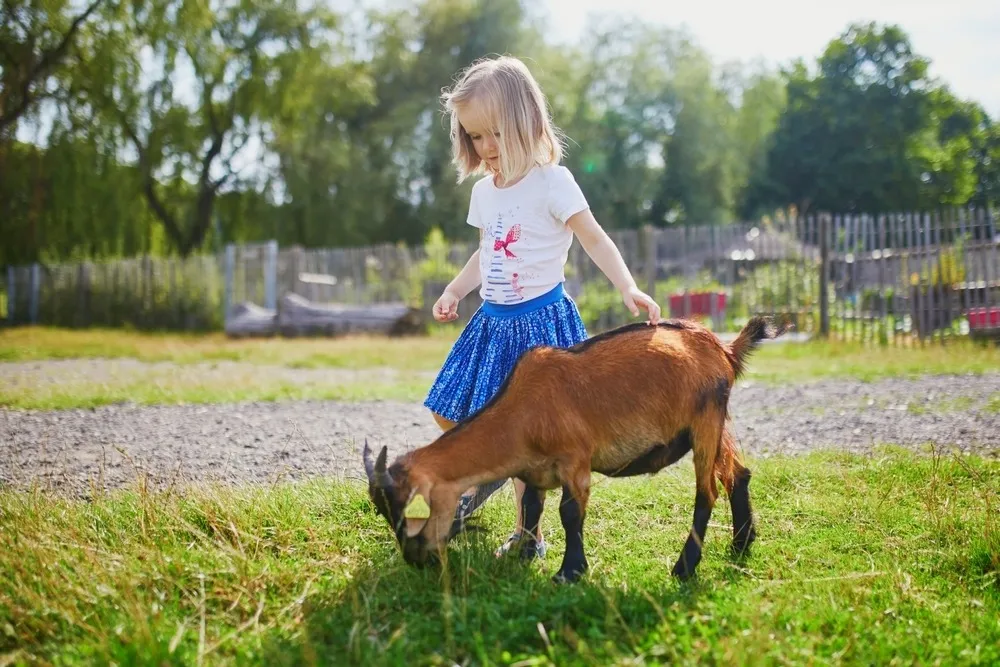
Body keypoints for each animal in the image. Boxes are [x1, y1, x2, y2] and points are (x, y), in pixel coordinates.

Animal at [363, 315, 789, 583]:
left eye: (412, 507)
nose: (414, 558)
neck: (521, 412)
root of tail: (724, 349)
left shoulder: (575, 461)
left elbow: (569, 514)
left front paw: (569, 573)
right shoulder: (533, 470)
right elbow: (531, 507)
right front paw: (522, 556)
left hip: (705, 421)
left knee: (707, 492)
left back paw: (685, 568)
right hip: (716, 422)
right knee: (738, 474)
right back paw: (741, 543)